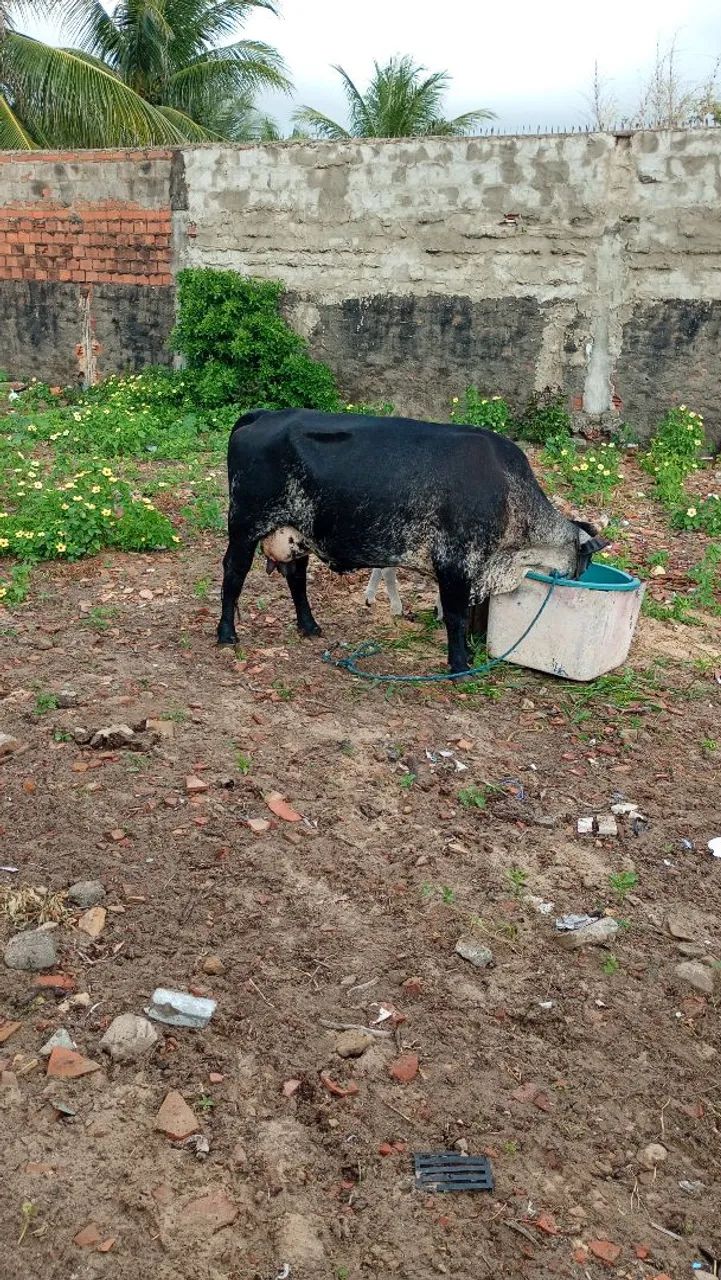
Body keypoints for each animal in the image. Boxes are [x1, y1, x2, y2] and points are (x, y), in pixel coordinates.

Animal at [217, 408, 608, 673]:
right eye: (586, 560)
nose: (581, 578)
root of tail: (264, 415)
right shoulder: (456, 562)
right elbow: (455, 616)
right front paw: (460, 665)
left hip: (295, 534)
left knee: (296, 578)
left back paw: (309, 626)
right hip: (245, 525)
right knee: (233, 574)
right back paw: (226, 633)